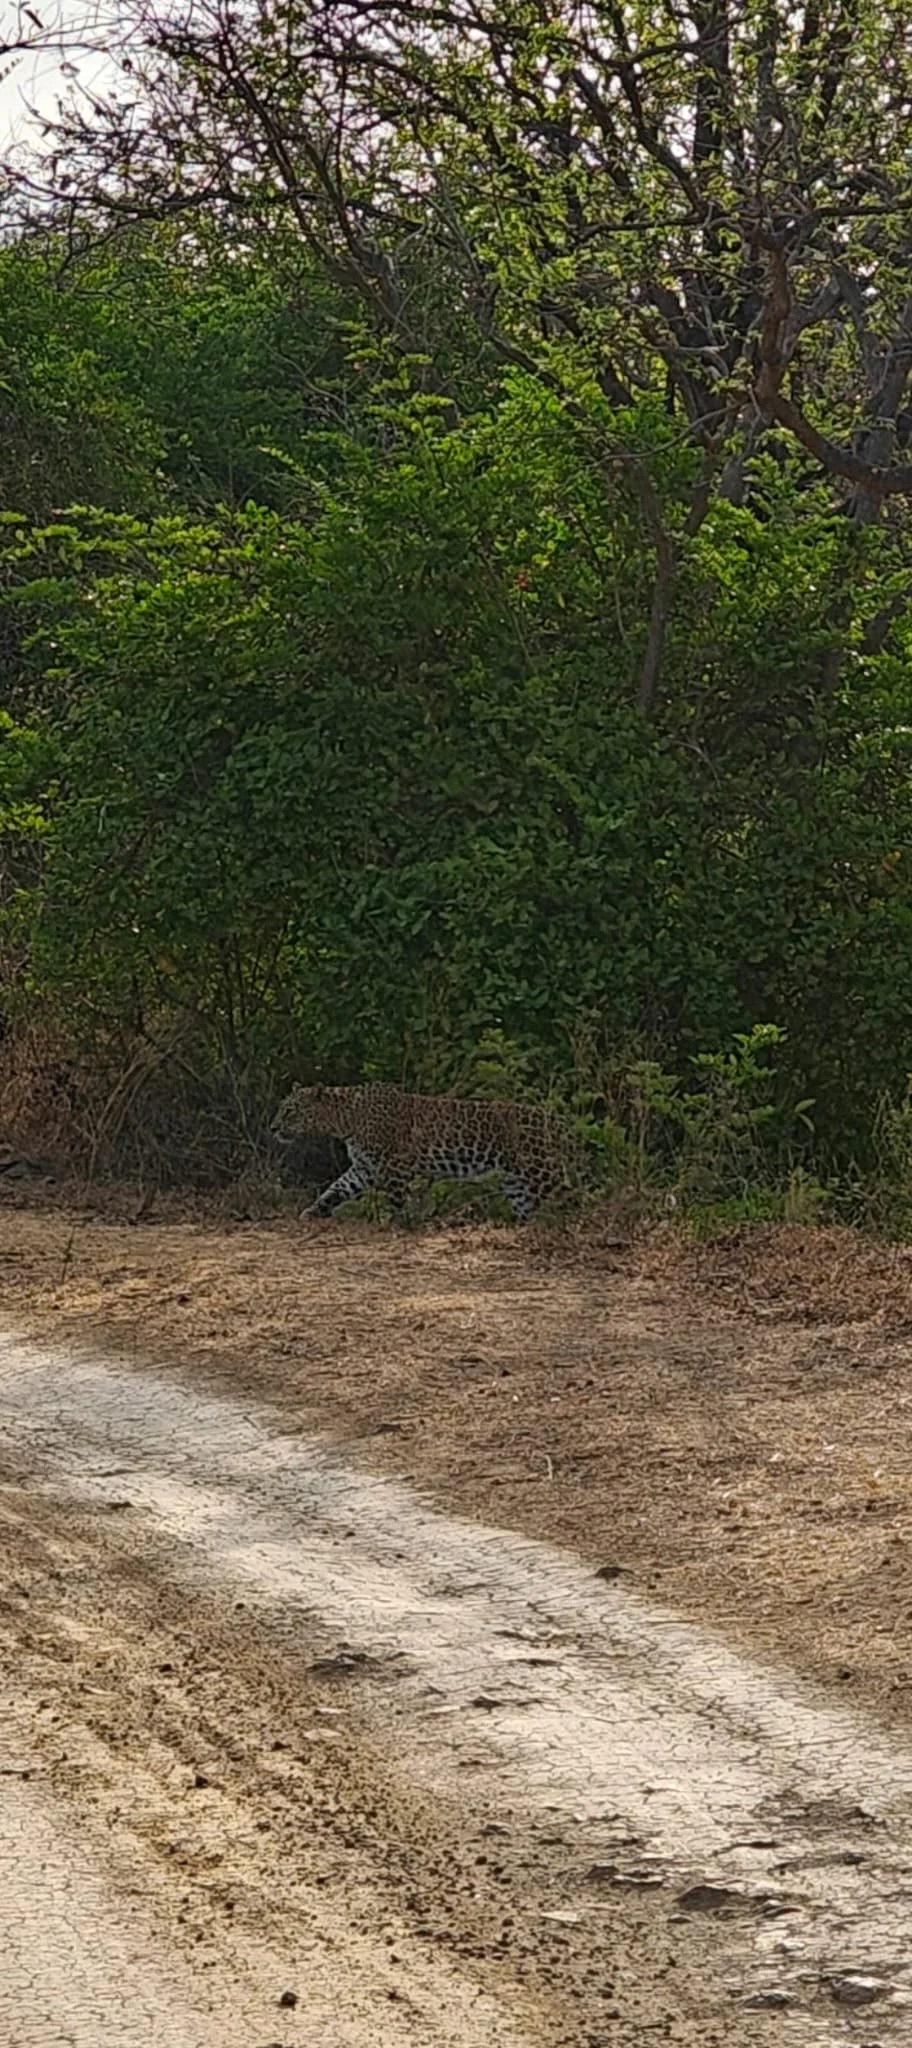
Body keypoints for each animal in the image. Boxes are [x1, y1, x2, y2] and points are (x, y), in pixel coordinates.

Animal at [272, 1082, 577, 1222]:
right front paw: (314, 1210)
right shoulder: (363, 1168)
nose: (273, 1127)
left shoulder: (395, 1165)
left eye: (290, 1111)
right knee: (529, 1207)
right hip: (514, 1180)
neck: (345, 1120)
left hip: (539, 1169)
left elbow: (398, 1199)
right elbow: (336, 1188)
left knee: (569, 1194)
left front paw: (401, 1222)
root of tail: (558, 1119)